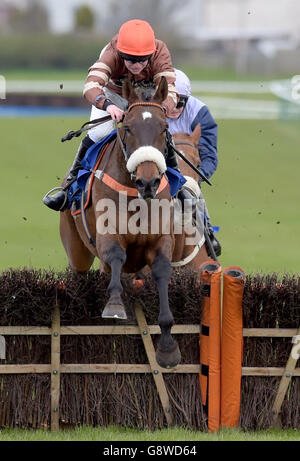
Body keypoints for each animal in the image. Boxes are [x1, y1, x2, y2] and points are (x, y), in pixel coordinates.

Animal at [59, 77, 179, 368]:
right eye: (128, 127)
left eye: (165, 128)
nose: (148, 182)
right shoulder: (108, 233)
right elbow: (115, 255)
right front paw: (114, 305)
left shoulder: (161, 239)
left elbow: (161, 271)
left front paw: (167, 346)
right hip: (77, 251)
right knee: (81, 272)